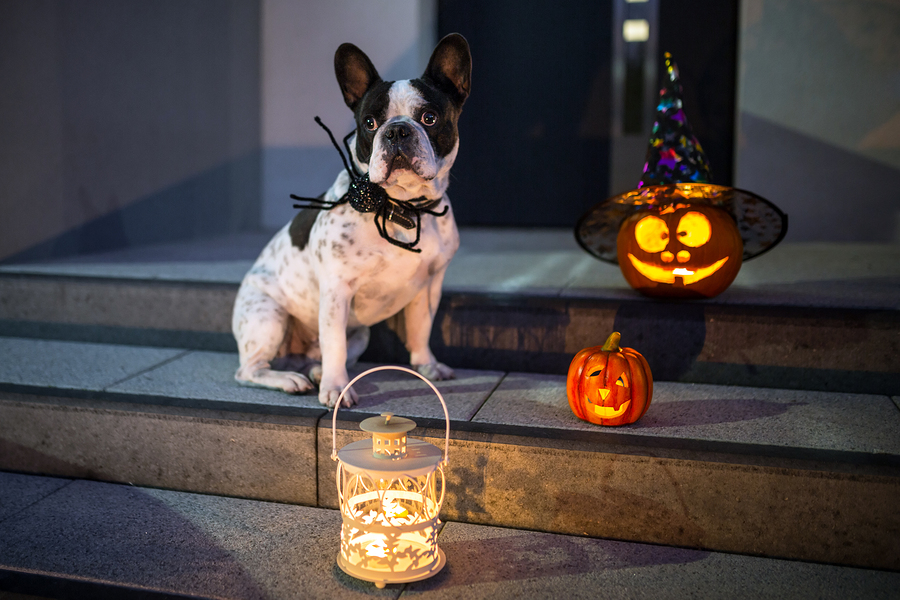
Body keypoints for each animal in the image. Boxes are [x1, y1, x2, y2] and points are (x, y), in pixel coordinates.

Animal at [232, 34, 472, 408]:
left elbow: (421, 328)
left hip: (361, 332)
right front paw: (336, 387)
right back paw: (290, 379)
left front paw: (427, 365)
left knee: (320, 355)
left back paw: (314, 372)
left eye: (430, 117)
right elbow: (334, 343)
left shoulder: (427, 286)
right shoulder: (336, 290)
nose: (397, 131)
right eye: (370, 124)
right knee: (250, 370)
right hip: (267, 316)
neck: (400, 206)